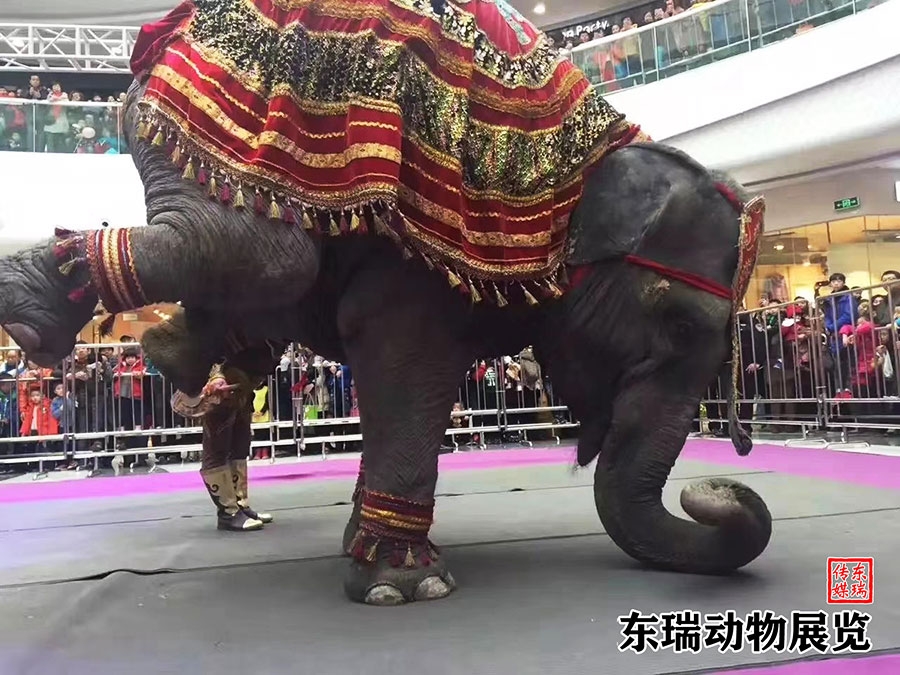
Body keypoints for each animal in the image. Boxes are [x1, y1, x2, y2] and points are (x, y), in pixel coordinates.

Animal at [0, 0, 772, 605]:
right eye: (678, 325)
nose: (717, 488)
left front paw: (360, 544)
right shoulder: (435, 251)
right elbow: (406, 359)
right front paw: (406, 585)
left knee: (249, 289)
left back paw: (172, 356)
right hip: (219, 117)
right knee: (267, 255)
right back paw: (32, 318)